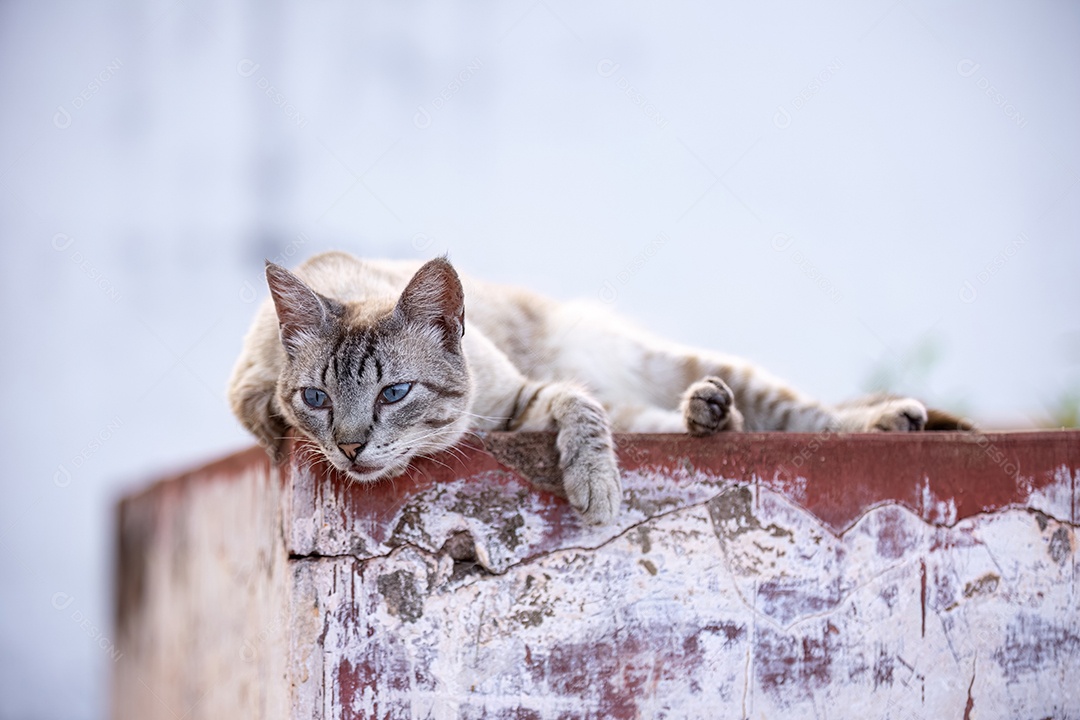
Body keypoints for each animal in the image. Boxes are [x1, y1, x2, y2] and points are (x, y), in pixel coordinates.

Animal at [227, 253, 972, 524]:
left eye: (394, 393)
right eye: (316, 400)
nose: (351, 449)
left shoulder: (524, 398)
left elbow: (582, 412)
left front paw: (596, 488)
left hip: (684, 362)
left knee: (800, 410)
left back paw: (891, 419)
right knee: (666, 417)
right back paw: (710, 416)